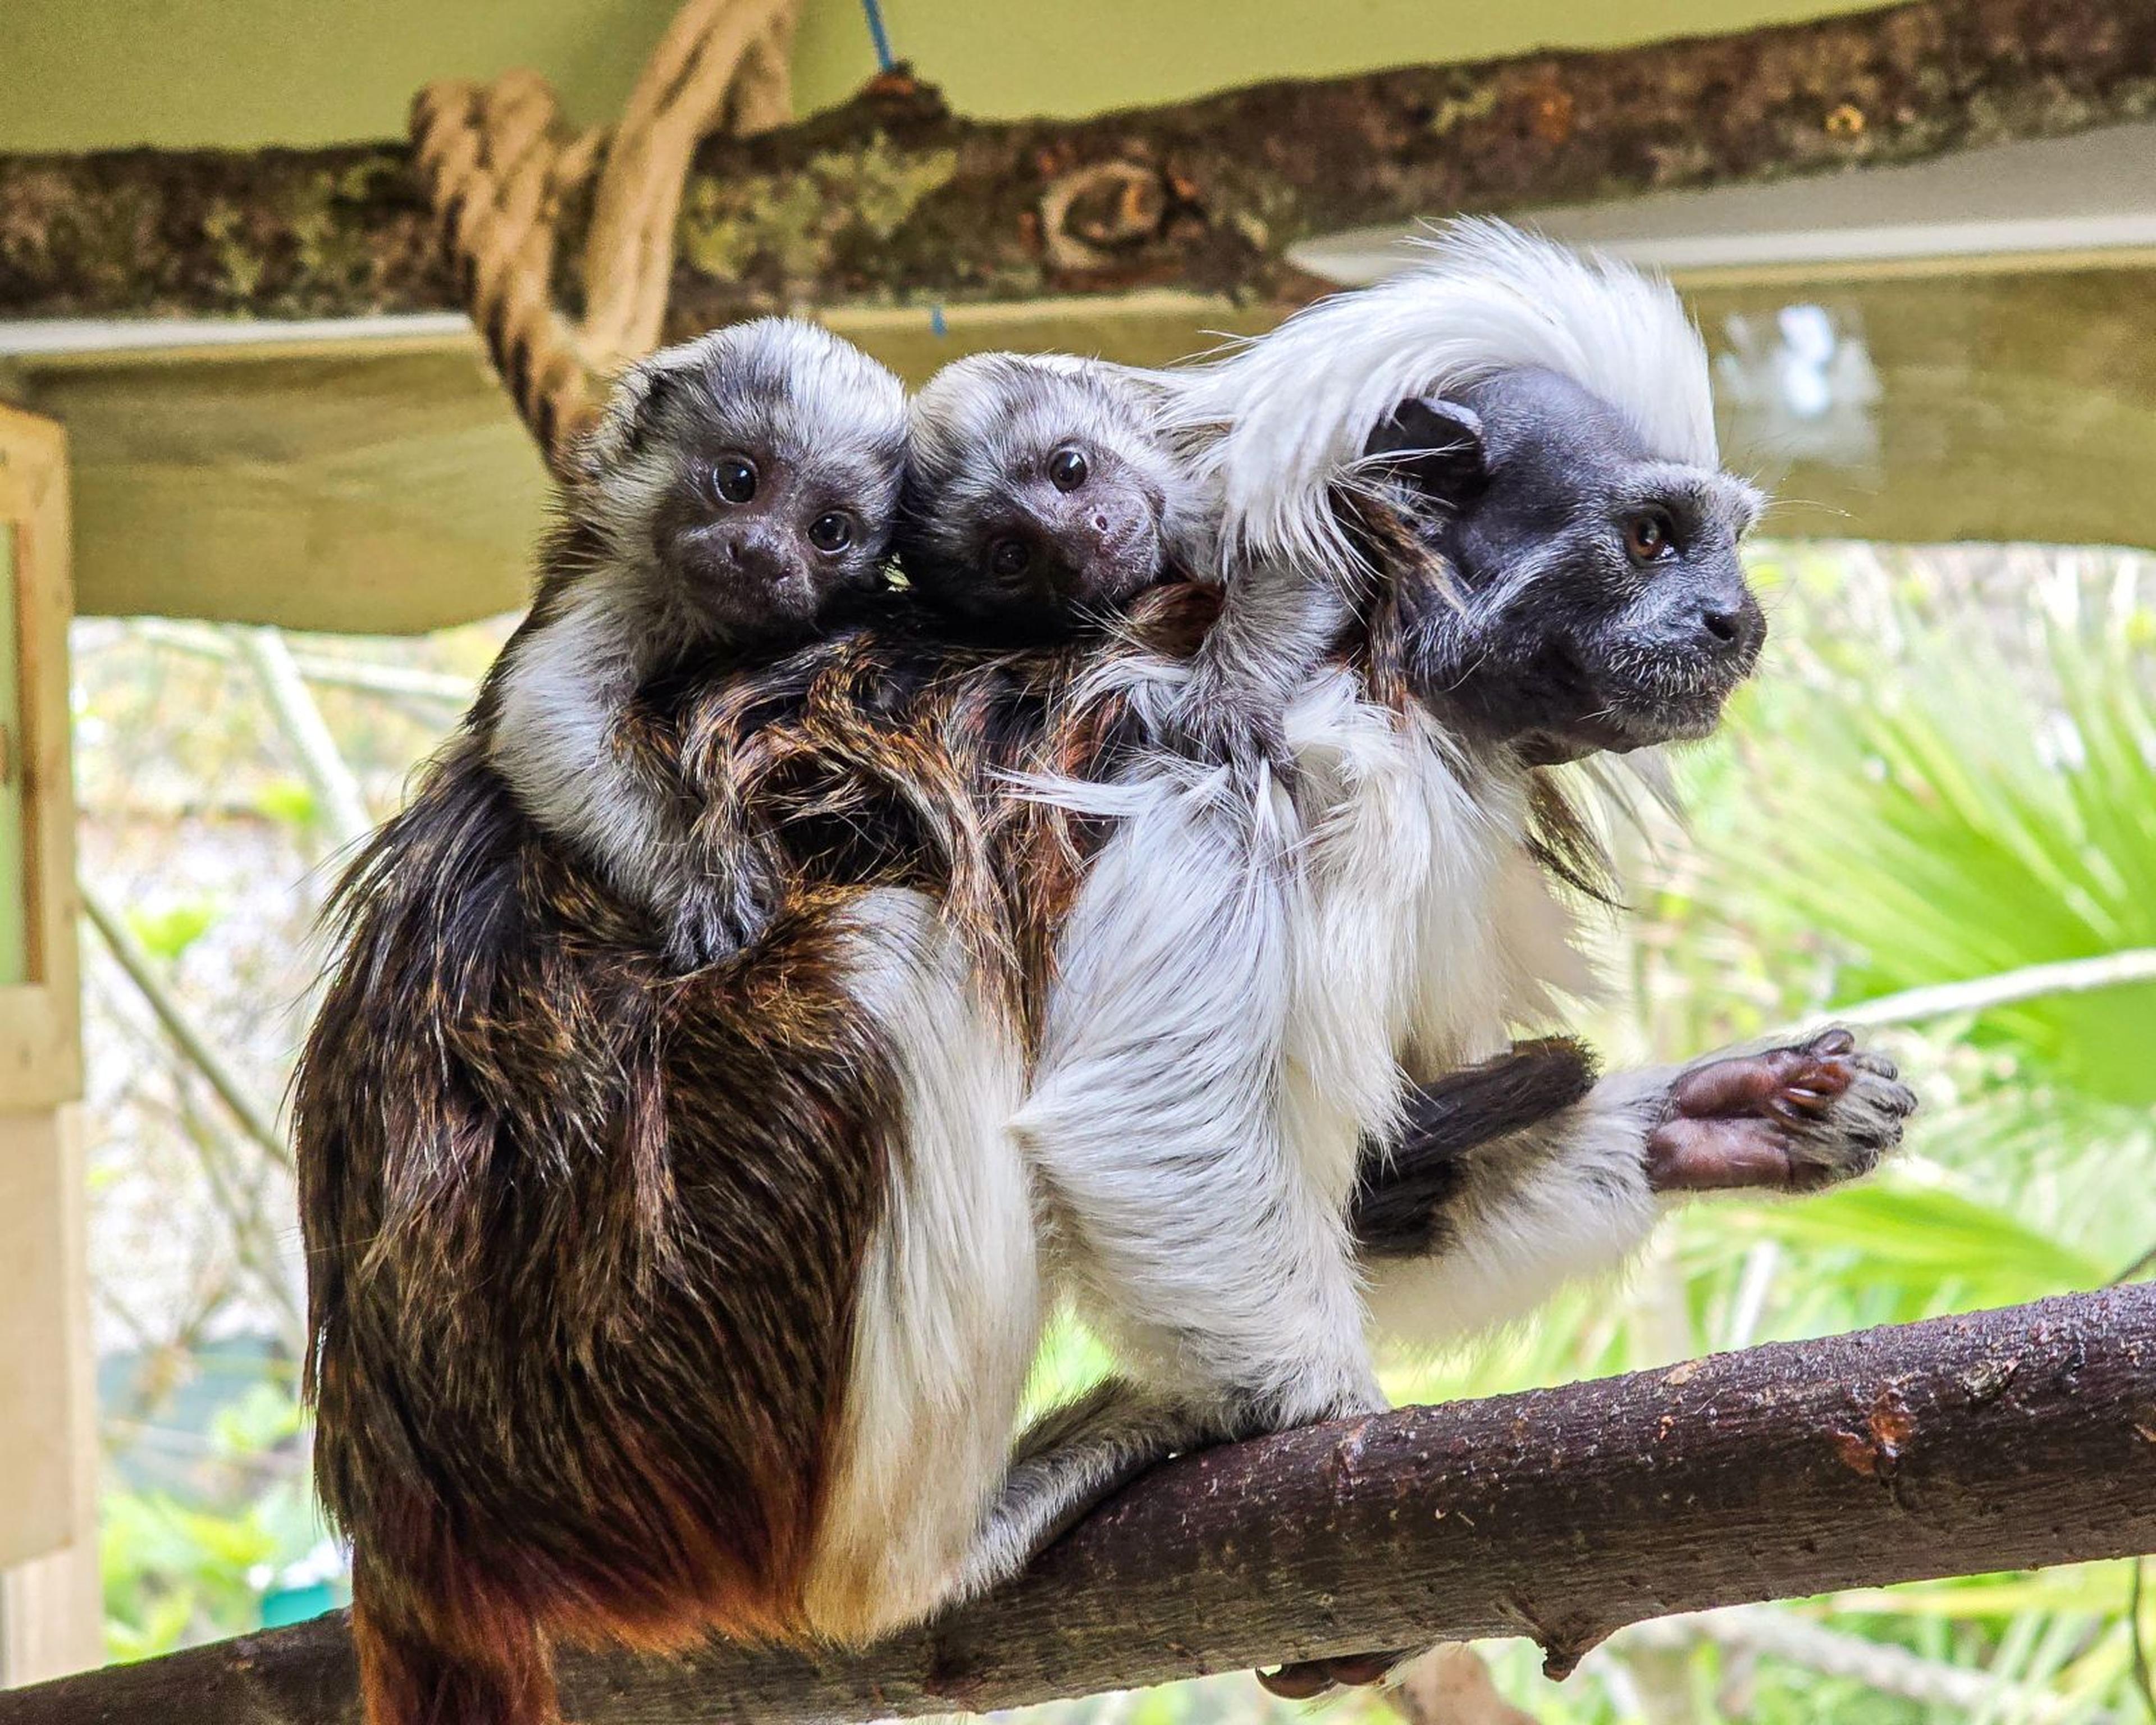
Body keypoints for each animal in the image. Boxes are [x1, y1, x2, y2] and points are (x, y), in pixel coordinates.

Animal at [484, 315, 907, 967]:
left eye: (830, 531)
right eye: (738, 480)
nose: (761, 553)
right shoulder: (620, 586)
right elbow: (551, 712)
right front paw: (696, 875)